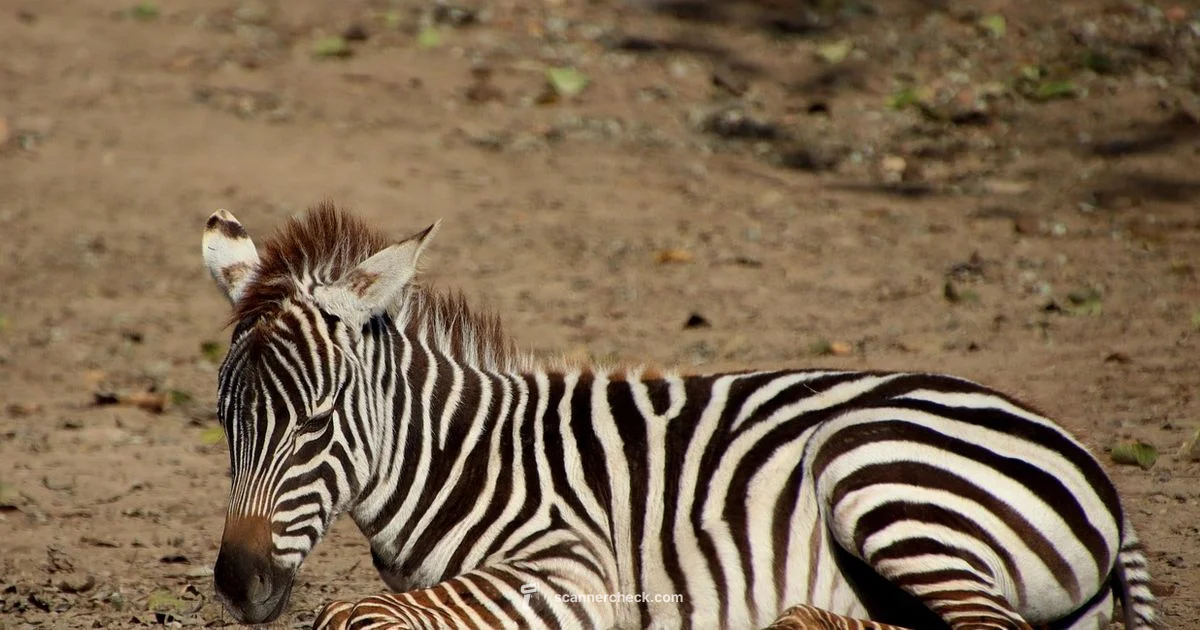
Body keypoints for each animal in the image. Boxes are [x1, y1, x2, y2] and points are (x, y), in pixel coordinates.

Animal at [201, 202, 1160, 630]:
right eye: (224, 422)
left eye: (317, 419)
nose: (238, 586)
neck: (465, 461)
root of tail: (1093, 466)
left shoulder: (576, 566)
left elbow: (356, 614)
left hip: (875, 469)